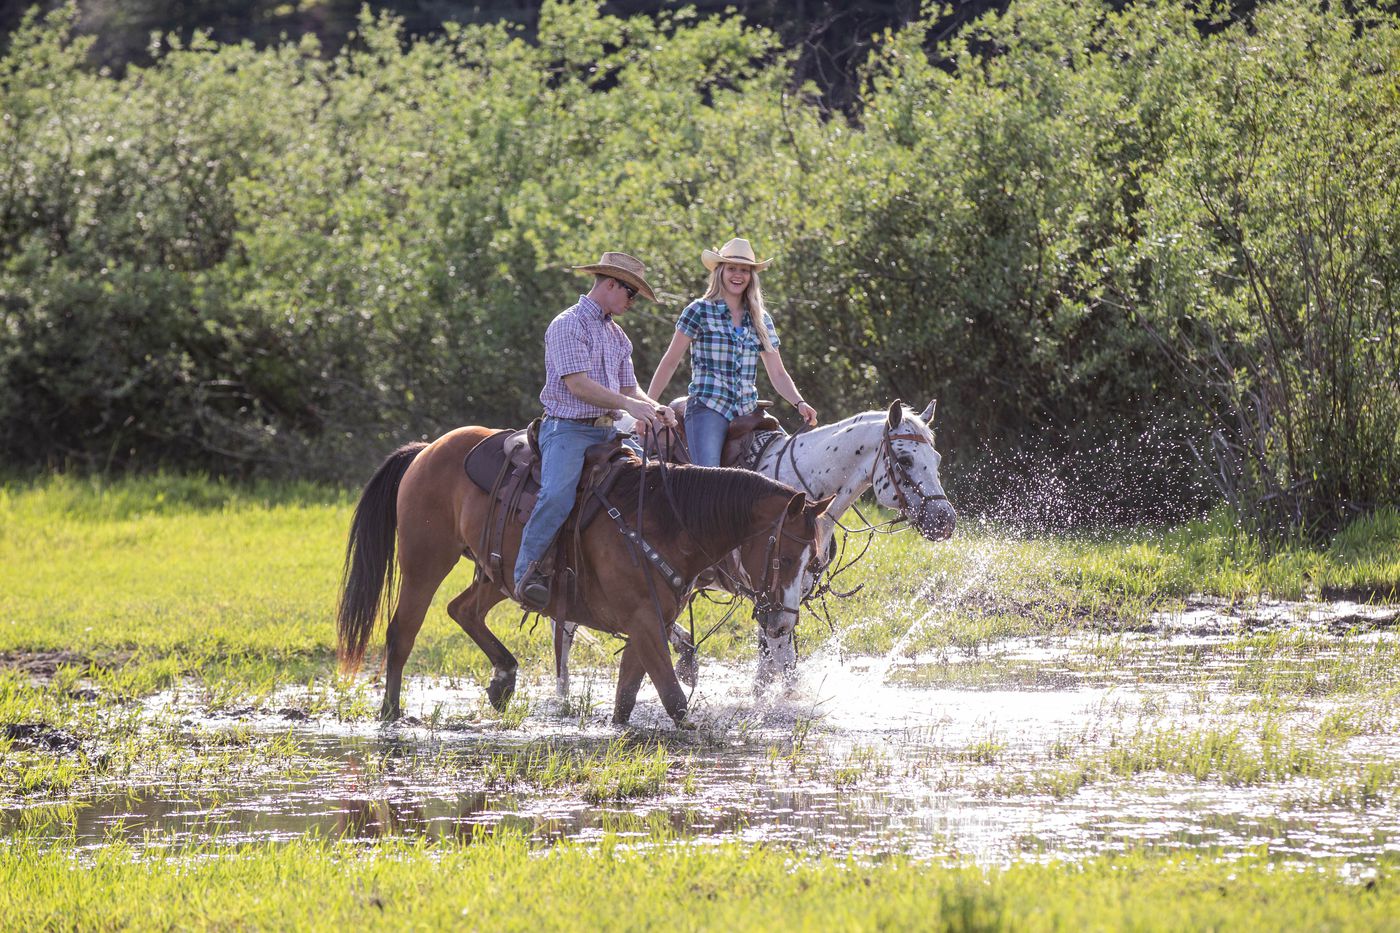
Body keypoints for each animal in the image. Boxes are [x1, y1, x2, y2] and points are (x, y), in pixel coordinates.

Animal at [336, 425, 828, 728]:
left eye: (814, 561)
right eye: (786, 557)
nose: (782, 623)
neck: (666, 519)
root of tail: (427, 449)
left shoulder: (649, 624)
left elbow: (627, 699)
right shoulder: (645, 622)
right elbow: (674, 699)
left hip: (497, 574)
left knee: (464, 609)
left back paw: (503, 678)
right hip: (424, 562)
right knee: (402, 632)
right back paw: (392, 713)